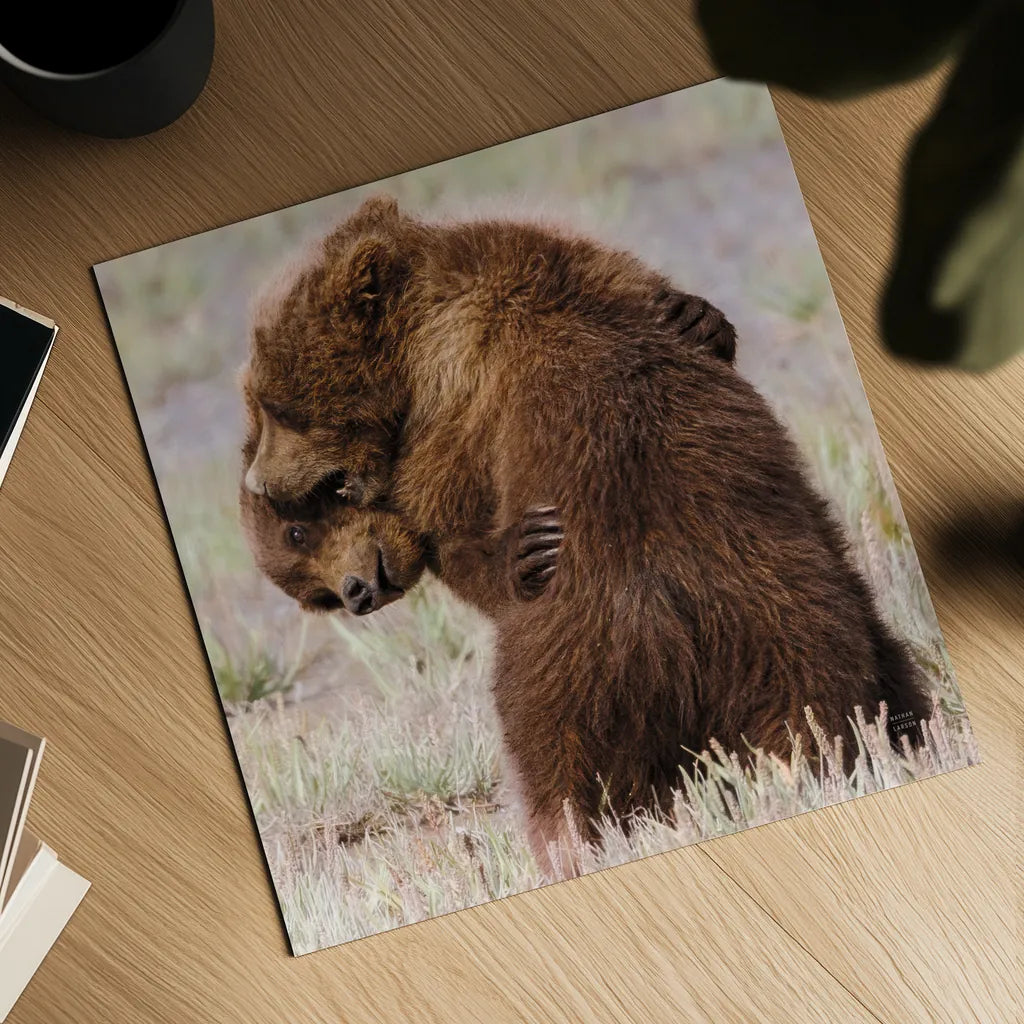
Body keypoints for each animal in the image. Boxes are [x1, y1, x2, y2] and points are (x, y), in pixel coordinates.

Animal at [240, 195, 931, 873]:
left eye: (277, 406)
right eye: (315, 593)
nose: (257, 482)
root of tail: (674, 618)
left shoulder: (450, 409)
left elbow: (458, 518)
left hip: (575, 661)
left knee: (556, 757)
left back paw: (570, 840)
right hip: (790, 616)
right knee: (837, 691)